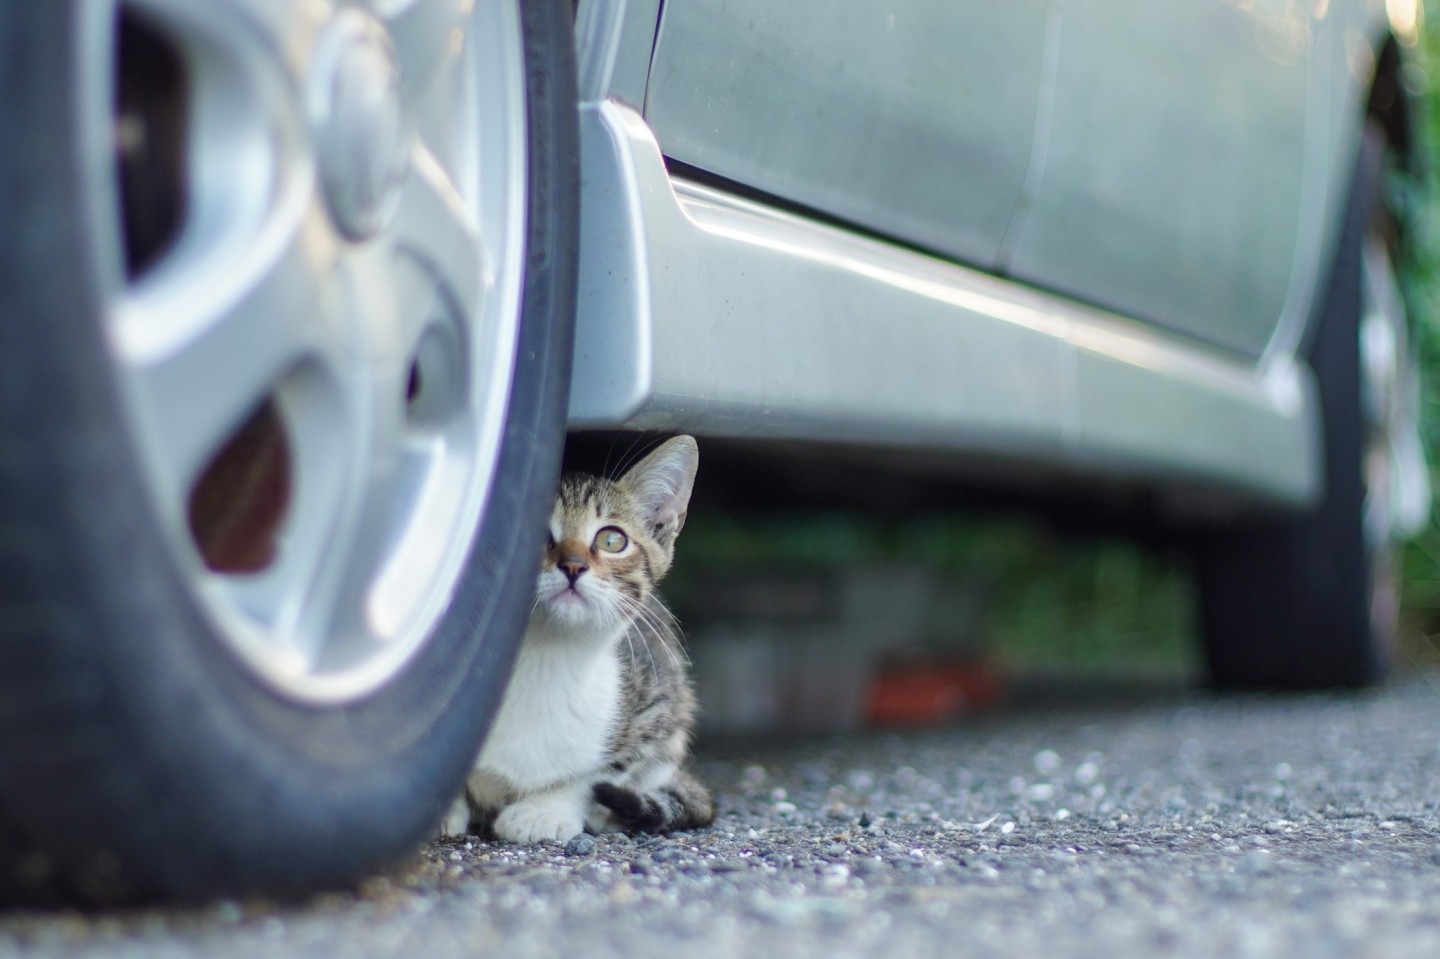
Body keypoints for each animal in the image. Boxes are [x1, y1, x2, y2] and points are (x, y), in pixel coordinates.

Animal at [437, 437, 708, 840]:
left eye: (612, 539)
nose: (574, 565)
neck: (544, 657)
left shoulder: (661, 702)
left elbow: (603, 771)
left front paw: (544, 811)